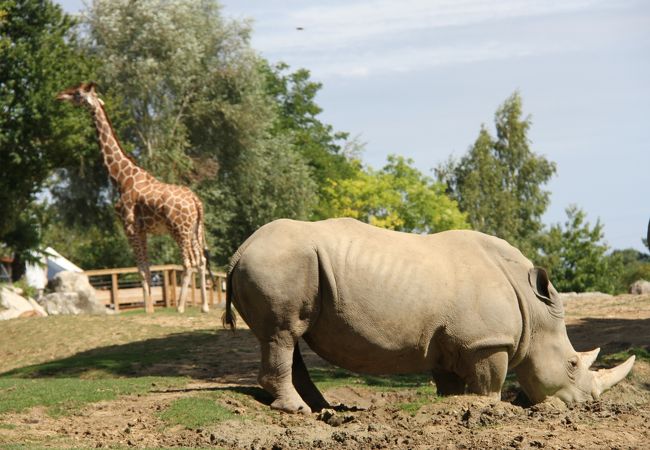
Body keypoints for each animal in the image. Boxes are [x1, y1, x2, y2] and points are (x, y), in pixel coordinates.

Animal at [55, 81, 209, 312]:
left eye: (77, 93)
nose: (59, 96)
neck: (121, 178)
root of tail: (196, 202)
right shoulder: (142, 230)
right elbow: (147, 267)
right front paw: (150, 309)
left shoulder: (129, 227)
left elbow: (141, 268)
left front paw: (147, 309)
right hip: (195, 230)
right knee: (201, 261)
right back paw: (205, 307)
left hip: (179, 229)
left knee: (188, 262)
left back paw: (181, 307)